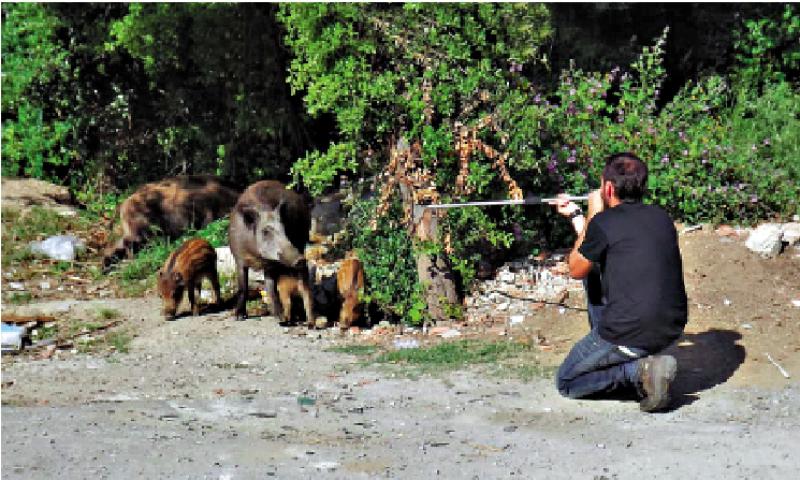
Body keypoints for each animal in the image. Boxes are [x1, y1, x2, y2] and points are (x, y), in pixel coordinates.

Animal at [227, 180, 314, 322]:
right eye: (265, 231)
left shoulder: (272, 264)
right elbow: (243, 287)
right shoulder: (239, 259)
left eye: (285, 229)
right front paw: (239, 317)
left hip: (301, 241)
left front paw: (282, 317)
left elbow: (272, 288)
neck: (256, 256)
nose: (300, 259)